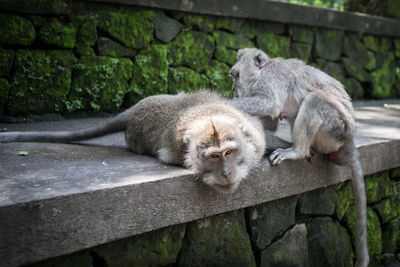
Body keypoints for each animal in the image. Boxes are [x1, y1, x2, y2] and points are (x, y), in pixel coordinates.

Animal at [1, 91, 270, 194]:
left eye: (229, 152)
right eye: (214, 156)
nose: (226, 172)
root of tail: (135, 109)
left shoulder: (256, 136)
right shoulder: (173, 151)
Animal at [230, 48, 370, 267]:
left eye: (236, 75)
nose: (234, 89)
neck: (262, 72)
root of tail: (349, 139)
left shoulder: (271, 78)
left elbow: (270, 104)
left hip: (335, 129)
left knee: (314, 101)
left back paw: (298, 151)